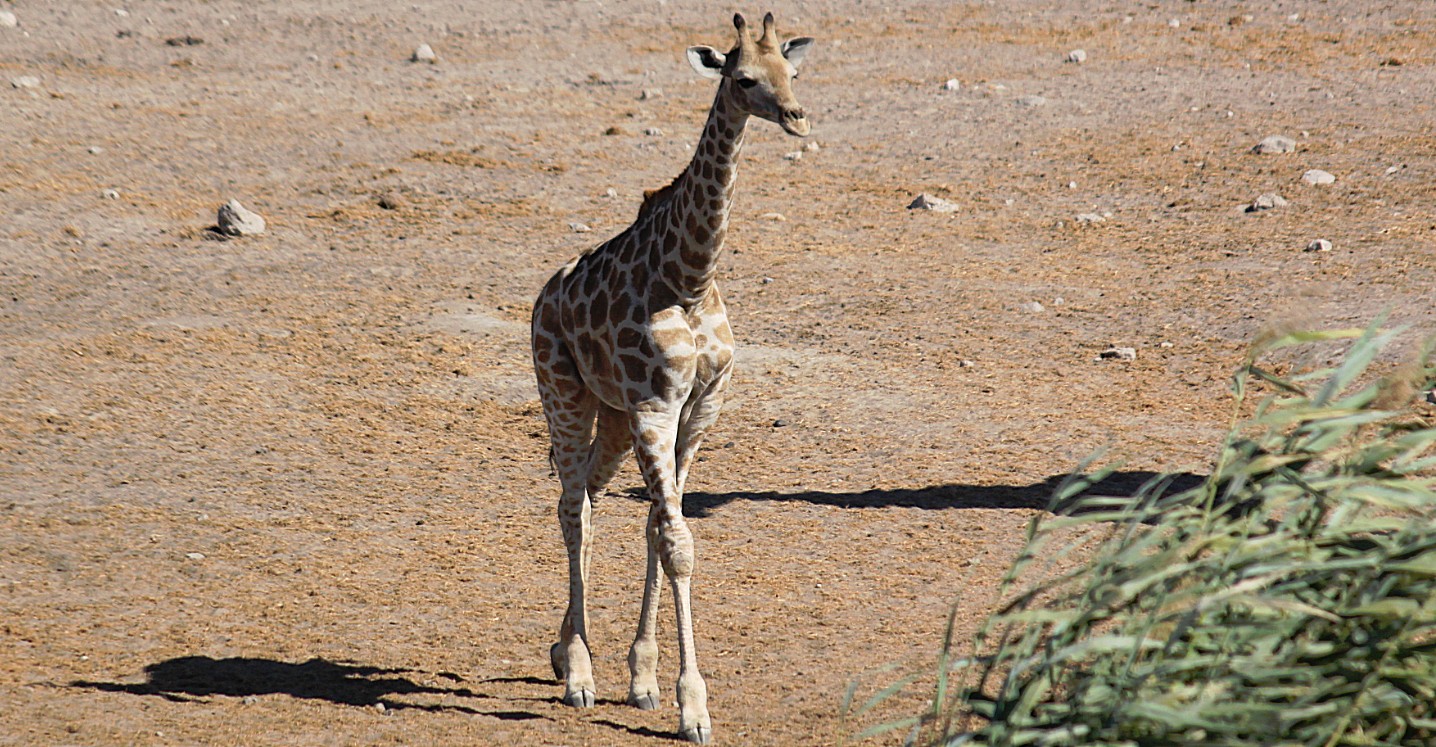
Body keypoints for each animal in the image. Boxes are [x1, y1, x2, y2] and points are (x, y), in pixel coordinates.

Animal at [531, 11, 821, 747]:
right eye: (743, 78)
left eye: (791, 71)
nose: (797, 116)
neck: (688, 279)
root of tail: (546, 295)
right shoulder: (654, 408)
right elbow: (678, 542)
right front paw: (694, 706)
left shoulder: (698, 412)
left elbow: (661, 533)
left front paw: (645, 677)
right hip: (563, 392)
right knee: (571, 506)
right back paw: (578, 673)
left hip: (609, 415)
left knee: (592, 500)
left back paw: (563, 651)